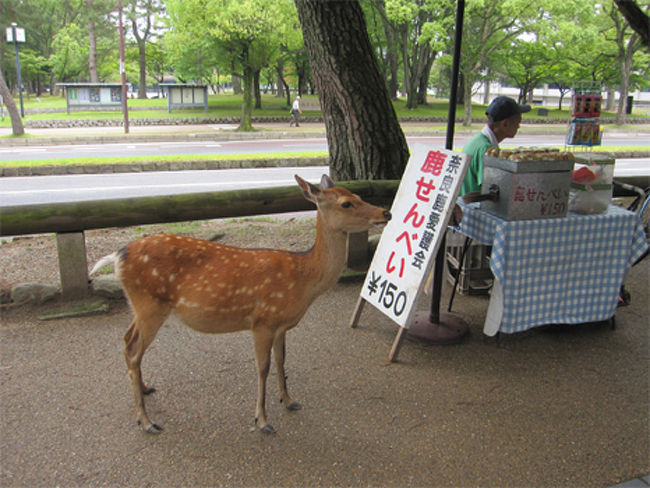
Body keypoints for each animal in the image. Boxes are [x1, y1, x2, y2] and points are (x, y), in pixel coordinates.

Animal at [90, 175, 391, 435]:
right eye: (346, 203)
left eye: (359, 194)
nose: (385, 213)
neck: (303, 278)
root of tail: (117, 257)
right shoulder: (262, 321)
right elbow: (263, 368)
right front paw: (262, 420)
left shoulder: (281, 325)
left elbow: (282, 360)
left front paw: (289, 400)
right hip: (150, 304)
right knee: (133, 351)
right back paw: (146, 421)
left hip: (141, 305)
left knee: (127, 340)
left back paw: (145, 389)